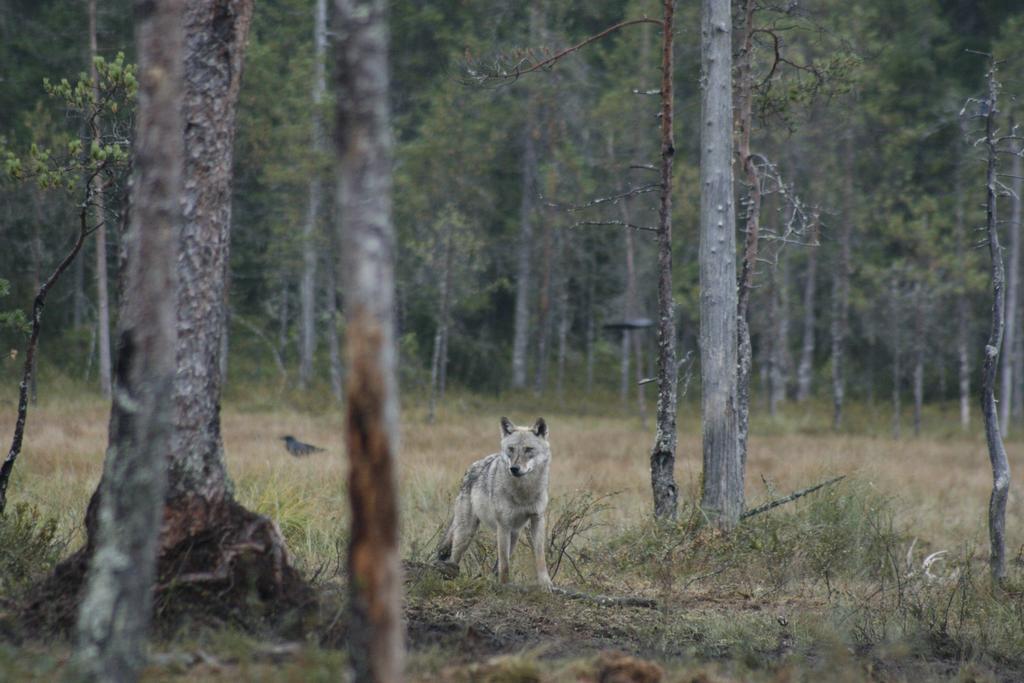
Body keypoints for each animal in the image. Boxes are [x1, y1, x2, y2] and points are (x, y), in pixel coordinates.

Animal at [438, 413, 557, 589]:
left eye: (528, 449)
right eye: (511, 449)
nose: (514, 469)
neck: (523, 493)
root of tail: (471, 467)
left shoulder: (537, 519)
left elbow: (540, 556)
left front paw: (545, 584)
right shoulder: (503, 525)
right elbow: (505, 563)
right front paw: (504, 585)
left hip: (514, 535)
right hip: (466, 532)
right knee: (454, 557)